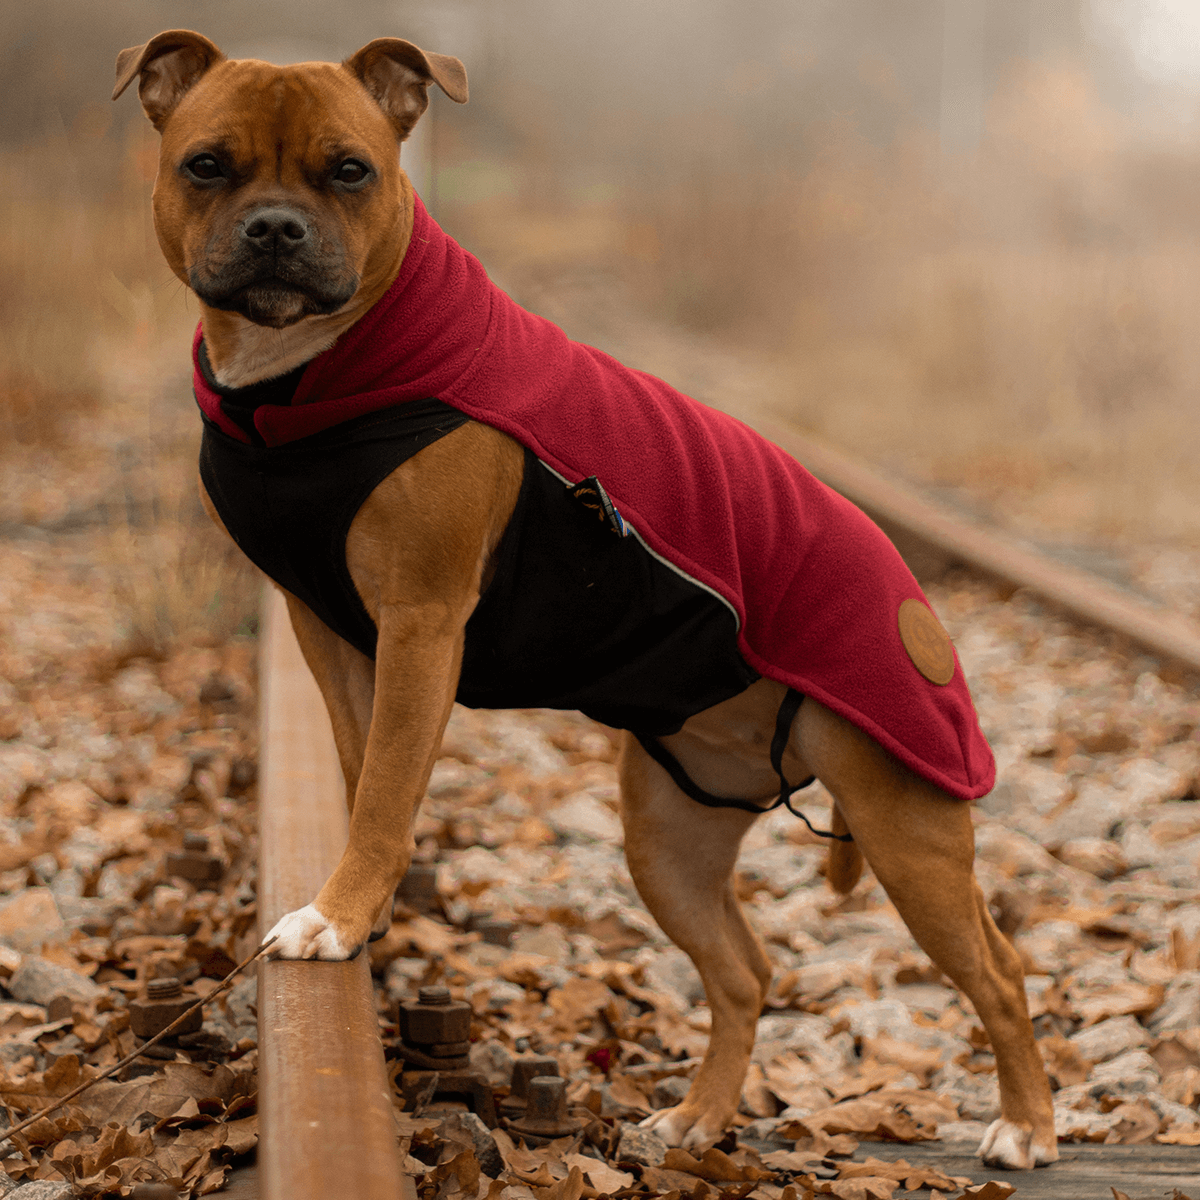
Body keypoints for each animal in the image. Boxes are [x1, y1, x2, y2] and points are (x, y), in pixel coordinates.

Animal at [110, 32, 1051, 1166]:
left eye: (350, 170)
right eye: (207, 165)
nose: (278, 227)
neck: (306, 384)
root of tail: (913, 598)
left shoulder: (422, 621)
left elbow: (384, 786)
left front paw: (336, 914)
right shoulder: (326, 627)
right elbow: (363, 764)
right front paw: (362, 905)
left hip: (909, 826)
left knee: (998, 972)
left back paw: (1026, 1127)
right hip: (669, 838)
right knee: (744, 971)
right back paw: (696, 1119)